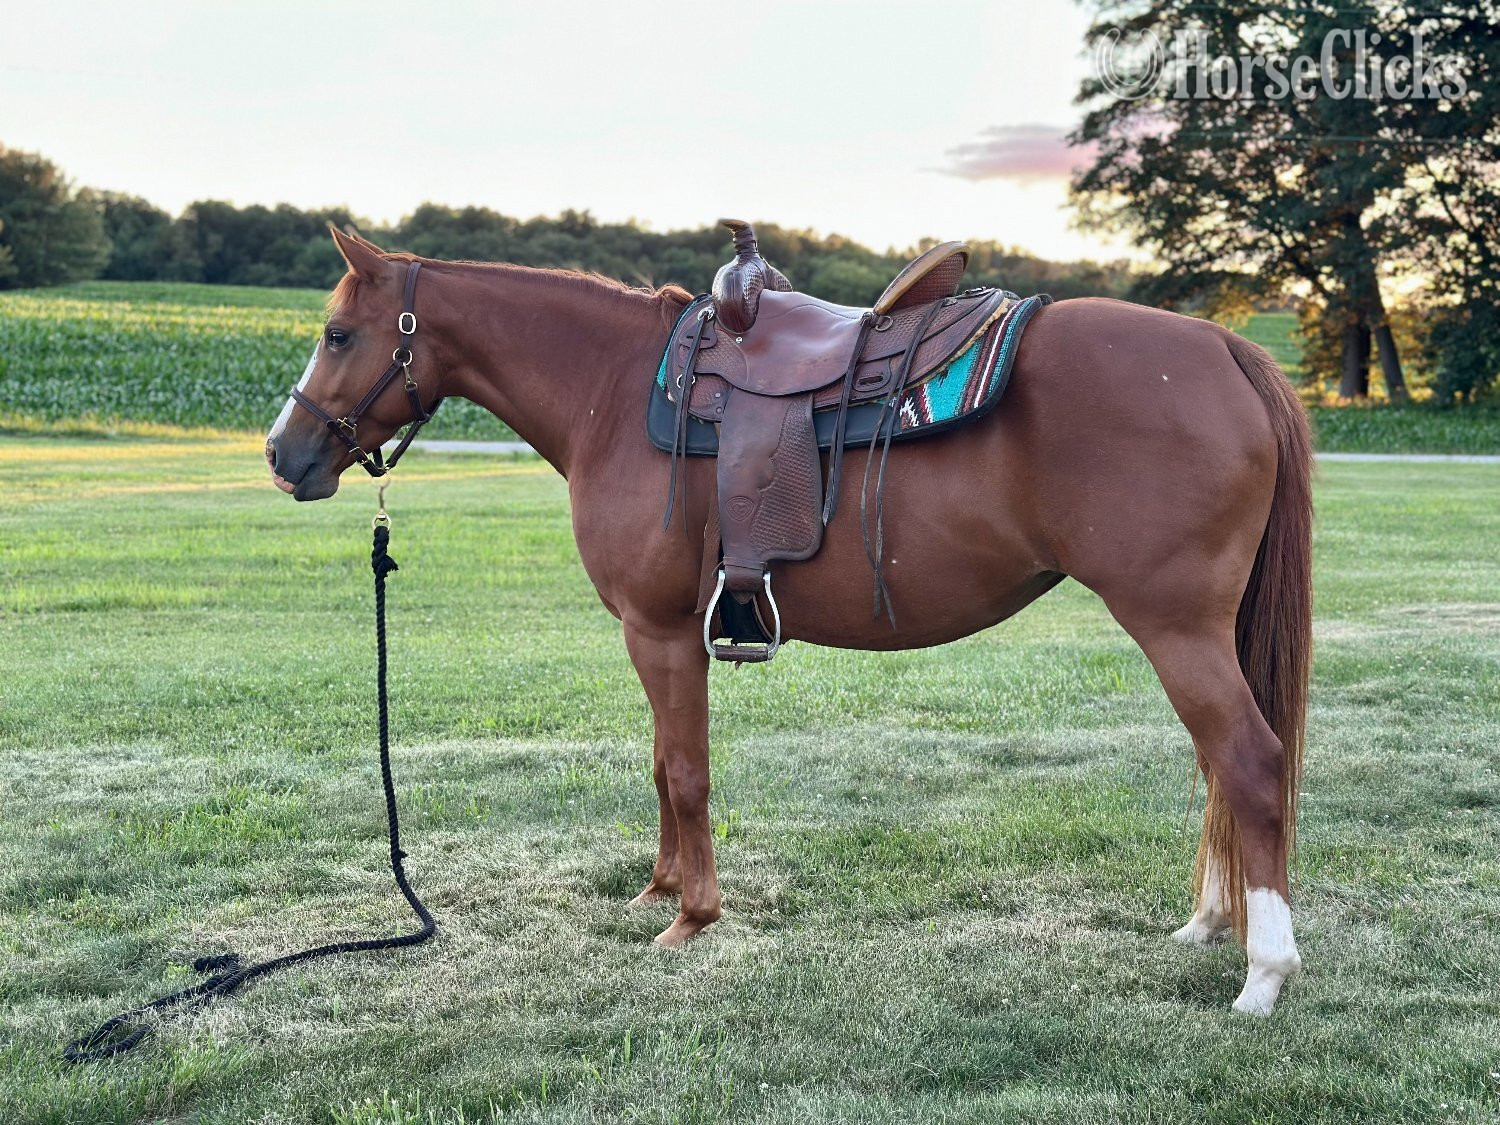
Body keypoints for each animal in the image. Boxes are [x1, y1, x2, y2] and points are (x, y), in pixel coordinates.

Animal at [265, 227, 1312, 1016]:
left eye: (339, 333)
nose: (282, 455)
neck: (613, 389)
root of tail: (1224, 348)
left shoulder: (658, 631)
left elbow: (687, 772)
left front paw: (690, 916)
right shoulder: (662, 637)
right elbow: (663, 763)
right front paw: (660, 884)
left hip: (1175, 628)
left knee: (1250, 762)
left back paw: (1264, 971)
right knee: (1221, 767)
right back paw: (1211, 923)